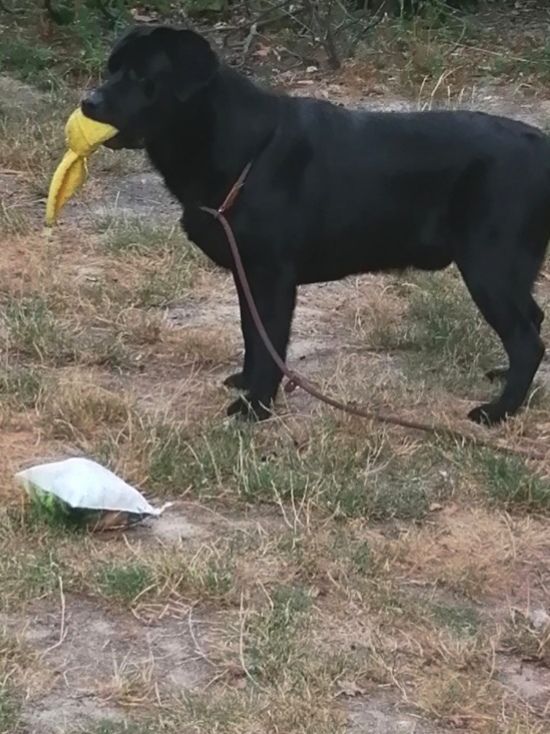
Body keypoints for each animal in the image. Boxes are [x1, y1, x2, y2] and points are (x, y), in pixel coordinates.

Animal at [82, 24, 550, 426]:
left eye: (141, 74)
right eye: (111, 68)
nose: (89, 102)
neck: (240, 149)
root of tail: (541, 145)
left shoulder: (272, 277)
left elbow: (269, 344)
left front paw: (256, 406)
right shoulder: (247, 274)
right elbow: (251, 334)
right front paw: (247, 384)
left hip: (489, 267)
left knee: (527, 341)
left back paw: (499, 410)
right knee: (533, 321)